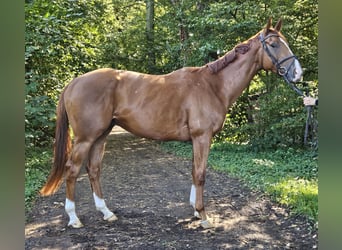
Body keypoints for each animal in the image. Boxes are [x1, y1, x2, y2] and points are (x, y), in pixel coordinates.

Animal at [40, 17, 302, 229]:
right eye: (274, 44)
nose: (298, 73)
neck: (213, 86)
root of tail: (74, 83)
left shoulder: (196, 139)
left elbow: (193, 171)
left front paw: (195, 211)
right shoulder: (202, 137)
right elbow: (200, 174)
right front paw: (203, 216)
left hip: (101, 135)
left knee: (93, 170)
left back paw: (106, 212)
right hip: (85, 138)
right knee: (72, 170)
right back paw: (74, 218)